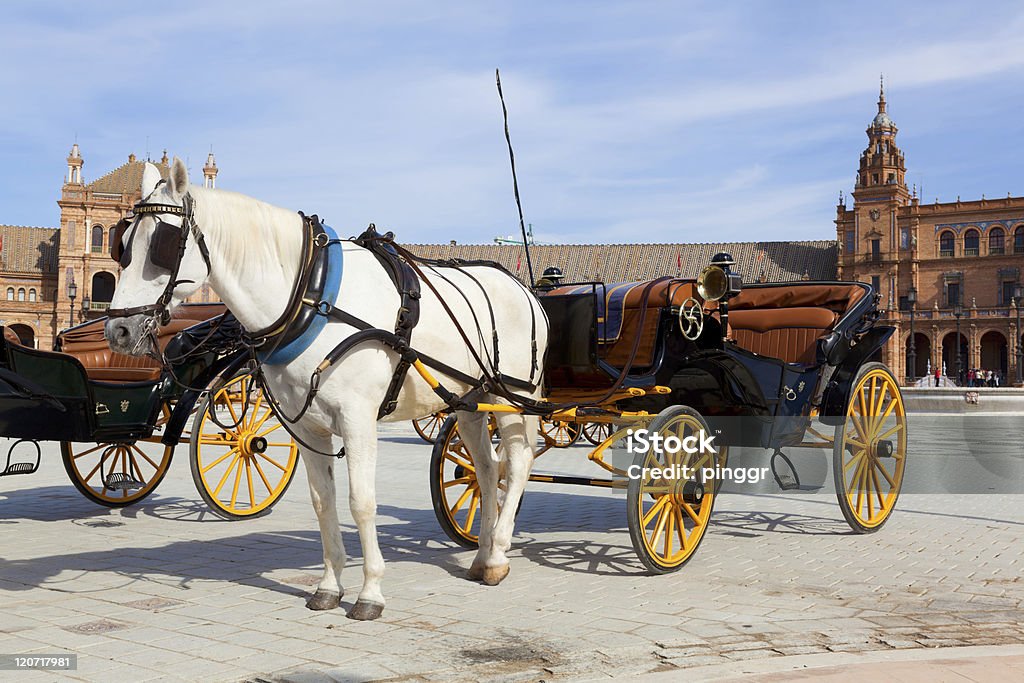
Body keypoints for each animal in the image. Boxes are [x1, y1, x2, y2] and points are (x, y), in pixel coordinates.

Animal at [108, 158, 548, 618]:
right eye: (122, 244)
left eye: (163, 244)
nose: (118, 330)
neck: (311, 294)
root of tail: (523, 288)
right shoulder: (305, 426)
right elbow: (323, 502)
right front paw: (329, 586)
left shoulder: (358, 421)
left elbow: (361, 502)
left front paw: (370, 592)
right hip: (470, 401)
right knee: (486, 469)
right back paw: (483, 557)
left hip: (514, 398)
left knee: (517, 463)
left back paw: (499, 550)